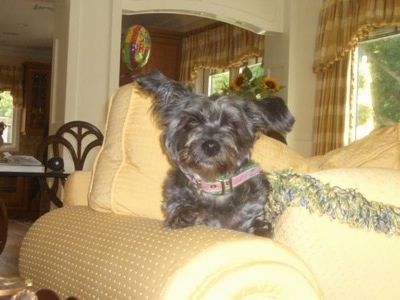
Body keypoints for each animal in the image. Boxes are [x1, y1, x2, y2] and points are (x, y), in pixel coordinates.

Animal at [134, 70, 294, 237]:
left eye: (232, 124)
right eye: (192, 121)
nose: (211, 146)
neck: (214, 185)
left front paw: (260, 229)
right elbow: (177, 208)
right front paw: (182, 215)